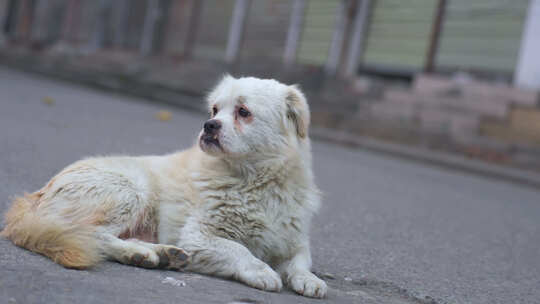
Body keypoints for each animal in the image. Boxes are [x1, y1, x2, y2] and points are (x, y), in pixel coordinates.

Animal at [2, 75, 326, 298]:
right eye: (215, 110)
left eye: (243, 112)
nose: (209, 126)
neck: (255, 183)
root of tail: (33, 199)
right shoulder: (197, 237)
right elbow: (238, 249)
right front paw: (260, 270)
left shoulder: (293, 241)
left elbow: (301, 262)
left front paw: (309, 280)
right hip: (130, 190)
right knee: (89, 234)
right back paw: (142, 254)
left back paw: (161, 253)